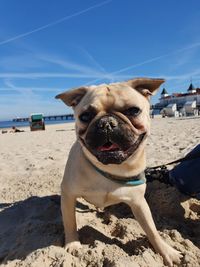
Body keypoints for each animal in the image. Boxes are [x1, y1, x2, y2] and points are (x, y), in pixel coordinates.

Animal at [55, 78, 182, 267]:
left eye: (133, 110)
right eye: (85, 116)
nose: (106, 123)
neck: (110, 168)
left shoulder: (139, 203)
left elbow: (152, 229)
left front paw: (167, 251)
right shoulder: (68, 196)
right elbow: (70, 222)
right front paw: (73, 244)